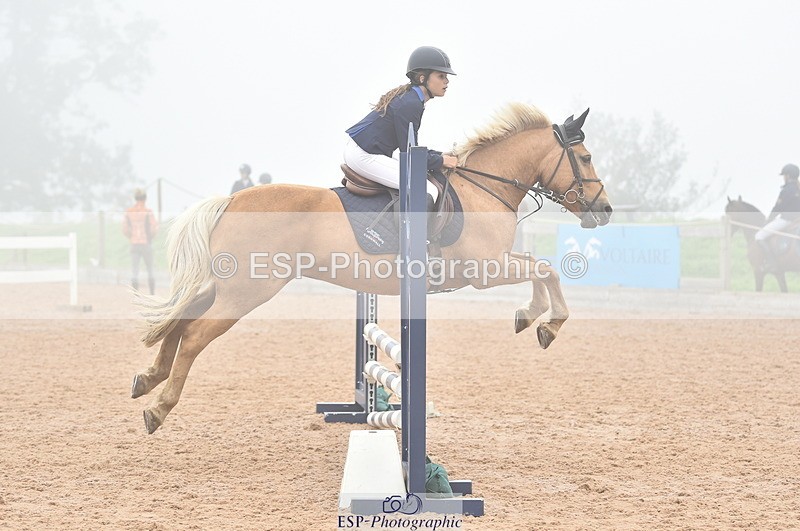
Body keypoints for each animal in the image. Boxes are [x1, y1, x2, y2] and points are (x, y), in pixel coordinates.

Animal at [131, 103, 613, 434]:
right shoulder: (485, 269)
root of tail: (231, 199)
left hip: (228, 285)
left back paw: (147, 378)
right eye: (587, 158)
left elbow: (542, 268)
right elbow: (546, 268)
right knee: (194, 334)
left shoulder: (491, 267)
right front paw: (544, 322)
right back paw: (158, 408)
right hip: (248, 291)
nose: (605, 210)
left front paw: (531, 319)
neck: (486, 188)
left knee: (180, 319)